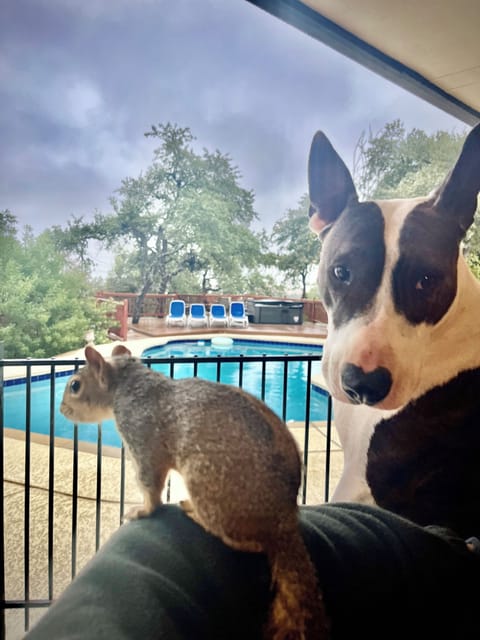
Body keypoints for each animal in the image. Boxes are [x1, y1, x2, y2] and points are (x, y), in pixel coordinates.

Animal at [60, 345, 329, 640]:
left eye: (75, 385)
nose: (62, 409)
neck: (129, 385)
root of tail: (282, 522)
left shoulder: (142, 435)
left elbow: (149, 481)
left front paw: (143, 510)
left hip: (207, 484)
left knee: (248, 543)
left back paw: (194, 513)